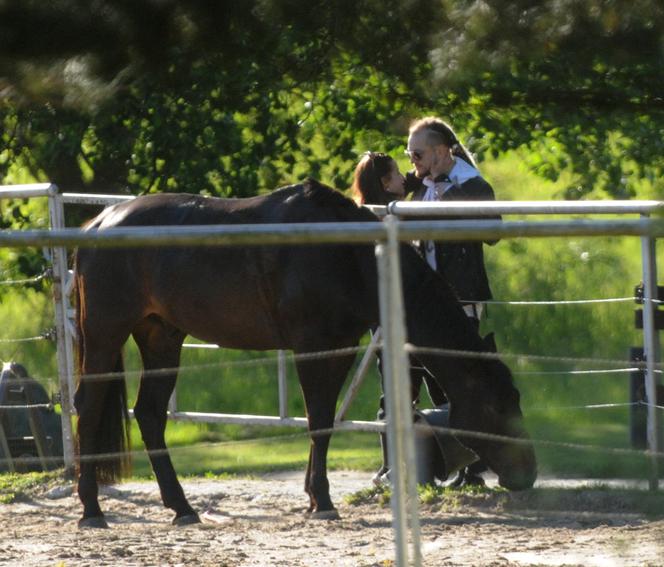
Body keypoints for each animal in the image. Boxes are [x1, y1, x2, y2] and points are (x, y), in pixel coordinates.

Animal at [74, 179, 540, 528]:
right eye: (496, 406)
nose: (528, 473)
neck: (348, 255)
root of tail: (98, 223)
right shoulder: (313, 347)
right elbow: (317, 420)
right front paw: (322, 500)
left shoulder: (341, 346)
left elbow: (325, 421)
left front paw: (314, 496)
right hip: (104, 336)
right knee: (89, 406)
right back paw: (92, 510)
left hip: (162, 338)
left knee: (150, 415)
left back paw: (182, 508)